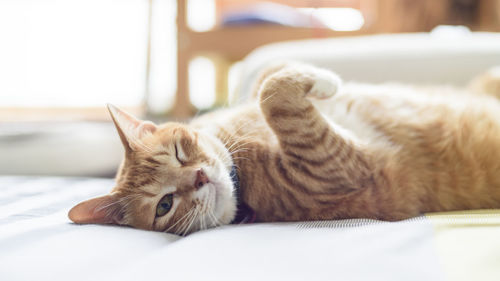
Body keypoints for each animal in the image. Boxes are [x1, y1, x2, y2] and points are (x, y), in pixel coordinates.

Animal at [68, 63, 500, 234]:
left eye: (179, 151)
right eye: (164, 205)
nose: (200, 176)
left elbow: (267, 76)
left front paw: (321, 80)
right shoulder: (342, 168)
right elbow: (272, 94)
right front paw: (324, 83)